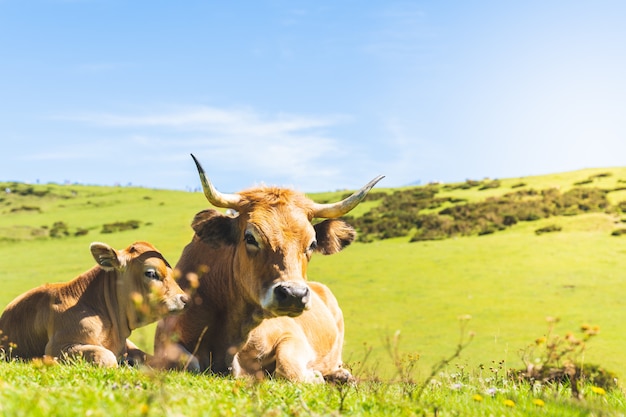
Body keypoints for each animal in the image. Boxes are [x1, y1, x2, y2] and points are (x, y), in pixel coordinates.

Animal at [152, 154, 380, 380]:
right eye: (250, 237)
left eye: (312, 244)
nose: (294, 294)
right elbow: (189, 363)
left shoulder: (292, 335)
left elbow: (288, 366)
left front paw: (317, 376)